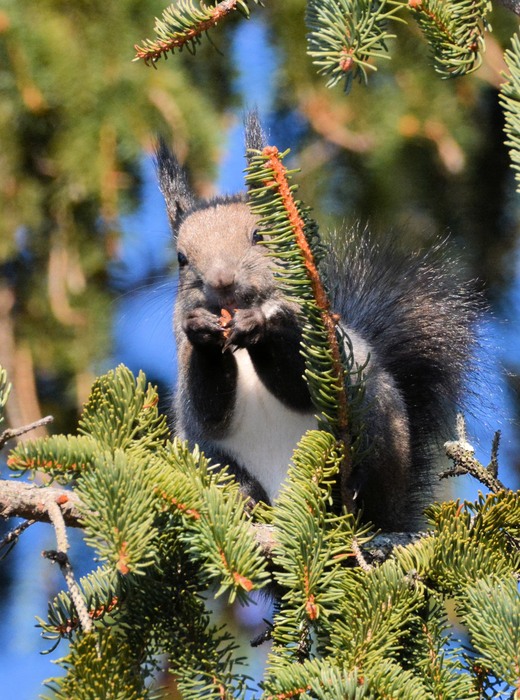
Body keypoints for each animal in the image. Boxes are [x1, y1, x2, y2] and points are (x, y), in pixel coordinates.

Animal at [155, 116, 480, 532]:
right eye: (181, 258)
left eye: (260, 235)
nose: (222, 280)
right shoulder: (189, 380)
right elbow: (207, 409)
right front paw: (202, 331)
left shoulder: (324, 341)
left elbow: (302, 383)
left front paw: (262, 324)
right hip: (208, 457)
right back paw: (247, 503)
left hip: (375, 426)